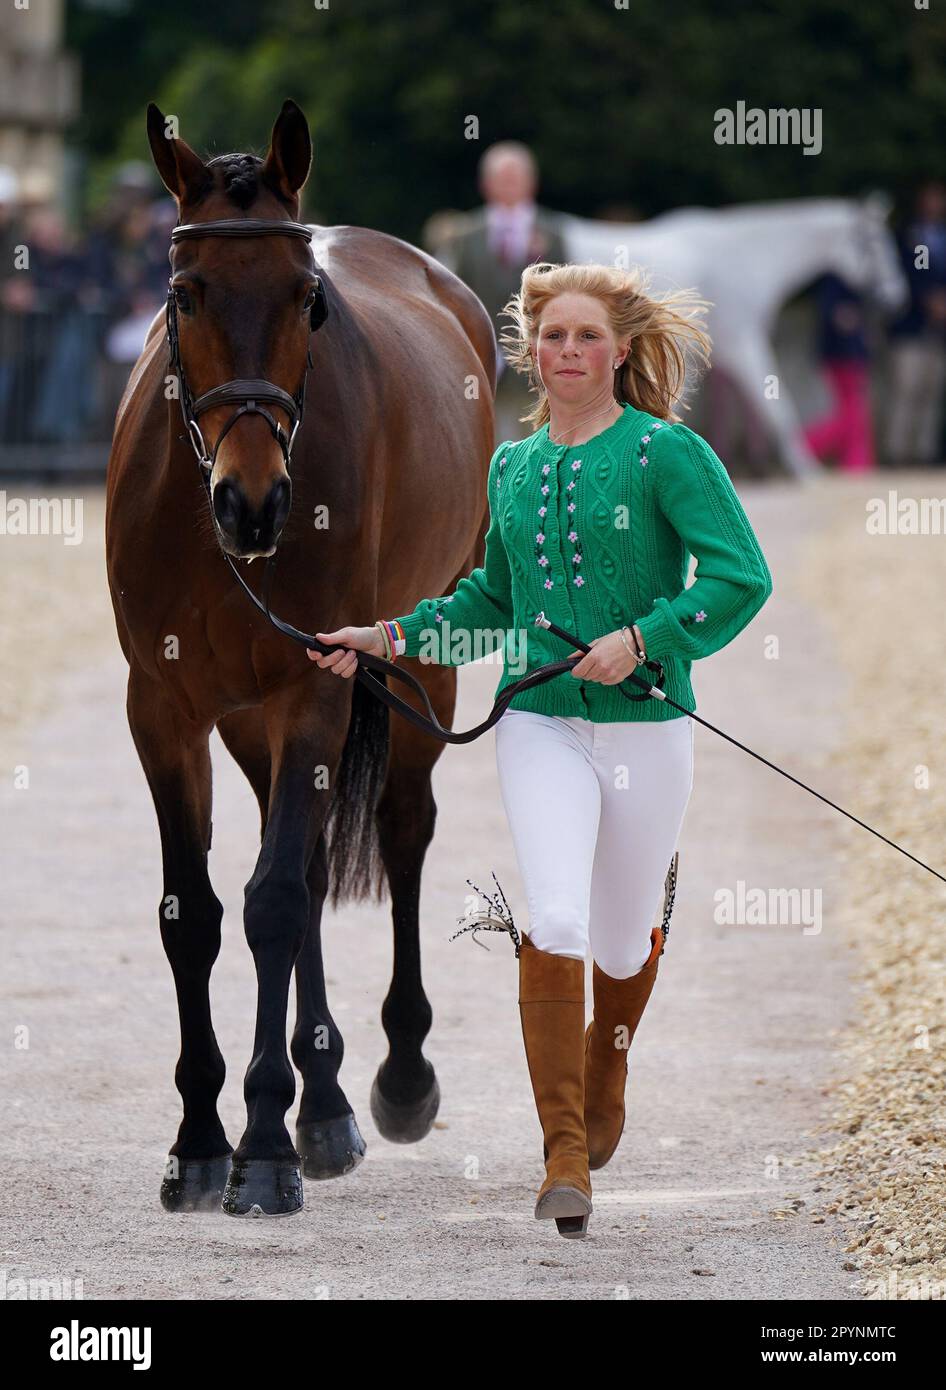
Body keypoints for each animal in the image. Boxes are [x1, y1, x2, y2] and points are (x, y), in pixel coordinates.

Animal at [106, 100, 497, 1217]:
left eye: (306, 299)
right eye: (184, 293)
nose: (253, 502)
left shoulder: (311, 687)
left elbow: (273, 899)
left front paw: (265, 1145)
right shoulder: (164, 707)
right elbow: (193, 913)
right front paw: (200, 1139)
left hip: (419, 666)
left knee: (398, 829)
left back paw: (384, 1081)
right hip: (248, 722)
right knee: (316, 858)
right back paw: (321, 1099)